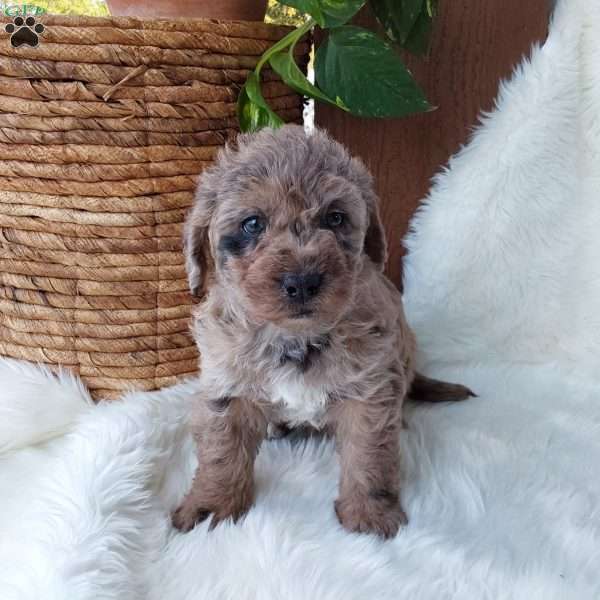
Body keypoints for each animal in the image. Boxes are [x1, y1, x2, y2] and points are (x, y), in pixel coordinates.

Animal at [171, 124, 472, 536]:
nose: (302, 282)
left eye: (335, 218)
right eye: (253, 223)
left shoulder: (370, 390)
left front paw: (369, 513)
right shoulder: (226, 385)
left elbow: (369, 456)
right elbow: (221, 452)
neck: (295, 336)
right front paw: (211, 507)